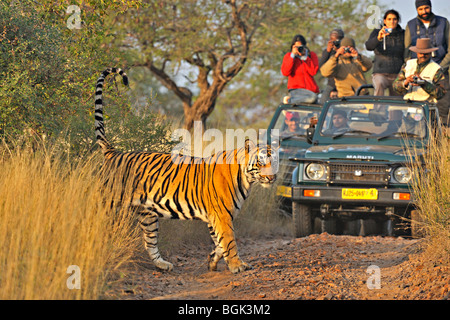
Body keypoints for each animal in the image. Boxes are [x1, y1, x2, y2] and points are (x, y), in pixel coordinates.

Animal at [94, 67, 278, 272]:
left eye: (274, 161)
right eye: (260, 163)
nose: (272, 178)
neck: (246, 180)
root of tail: (113, 152)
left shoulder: (214, 217)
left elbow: (219, 243)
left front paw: (212, 260)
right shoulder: (222, 216)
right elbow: (229, 242)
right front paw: (237, 265)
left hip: (148, 215)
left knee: (149, 242)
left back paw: (163, 265)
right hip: (108, 203)